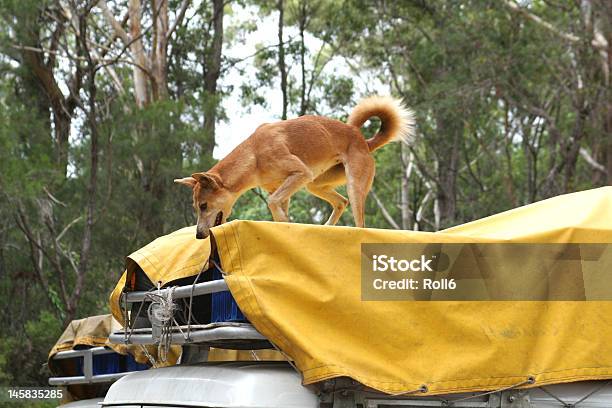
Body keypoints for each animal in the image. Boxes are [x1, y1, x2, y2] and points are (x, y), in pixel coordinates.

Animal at [177, 95, 416, 239]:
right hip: (315, 183)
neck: (254, 156)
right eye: (196, 207)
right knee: (341, 202)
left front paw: (286, 223)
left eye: (204, 206)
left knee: (359, 221)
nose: (198, 235)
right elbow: (277, 205)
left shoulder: (299, 173)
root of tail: (363, 141)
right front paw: (284, 226)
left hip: (352, 185)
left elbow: (272, 203)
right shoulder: (285, 187)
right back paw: (326, 227)